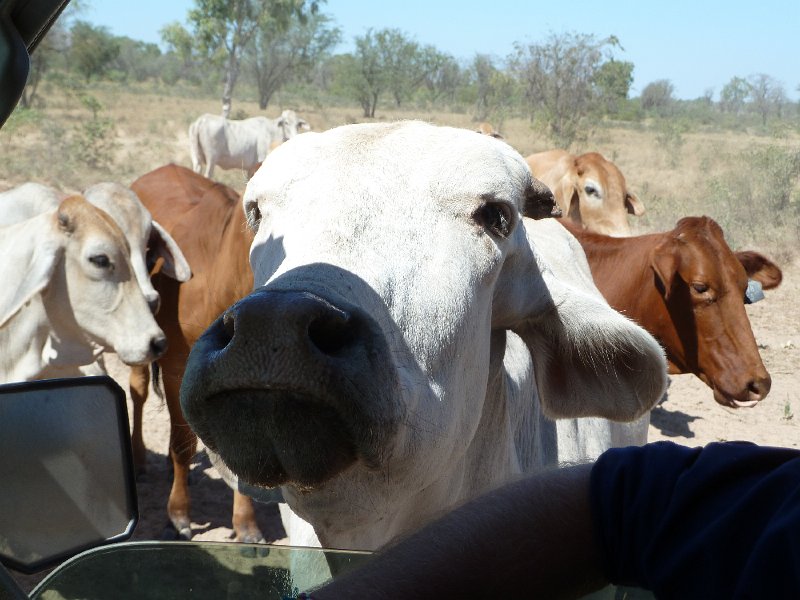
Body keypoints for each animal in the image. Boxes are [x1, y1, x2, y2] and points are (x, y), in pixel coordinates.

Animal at [126, 165, 260, 544]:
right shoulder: (175, 367)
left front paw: (246, 524)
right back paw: (139, 459)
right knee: (138, 390)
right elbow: (181, 443)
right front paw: (178, 516)